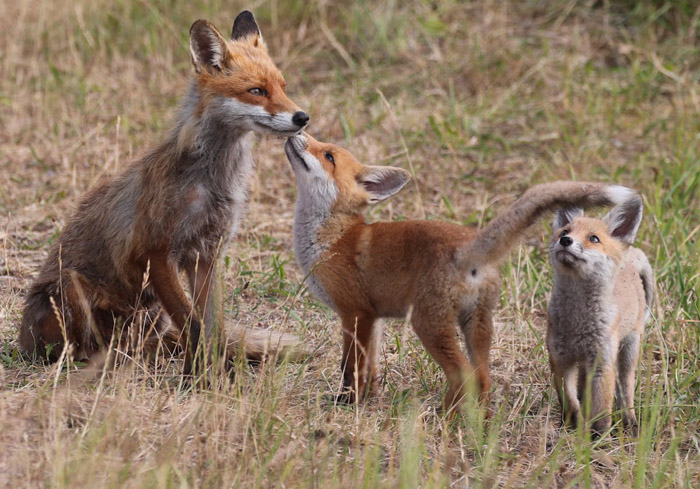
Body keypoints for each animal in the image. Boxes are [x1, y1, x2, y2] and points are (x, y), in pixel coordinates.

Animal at [18, 11, 309, 373]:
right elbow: (194, 325)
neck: (212, 182)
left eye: (283, 87)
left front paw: (211, 373)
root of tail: (22, 340)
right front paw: (206, 376)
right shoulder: (157, 253)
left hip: (151, 315)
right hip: (73, 287)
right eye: (257, 91)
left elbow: (212, 327)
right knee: (84, 349)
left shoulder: (207, 255)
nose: (303, 117)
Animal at [284, 132, 641, 412]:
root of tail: (468, 243)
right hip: (477, 326)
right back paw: (473, 422)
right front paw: (367, 400)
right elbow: (370, 369)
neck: (334, 237)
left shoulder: (354, 314)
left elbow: (349, 367)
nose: (298, 128)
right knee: (483, 378)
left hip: (428, 324)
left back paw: (444, 418)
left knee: (464, 375)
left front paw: (347, 403)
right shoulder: (374, 319)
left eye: (328, 155)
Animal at [547, 197, 654, 436]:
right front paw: (575, 423)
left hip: (628, 349)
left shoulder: (603, 362)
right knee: (583, 387)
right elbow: (570, 398)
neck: (577, 322)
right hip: (586, 362)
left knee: (625, 389)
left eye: (593, 238)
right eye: (565, 231)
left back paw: (630, 421)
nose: (565, 241)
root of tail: (630, 256)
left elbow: (602, 409)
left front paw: (598, 437)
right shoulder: (560, 359)